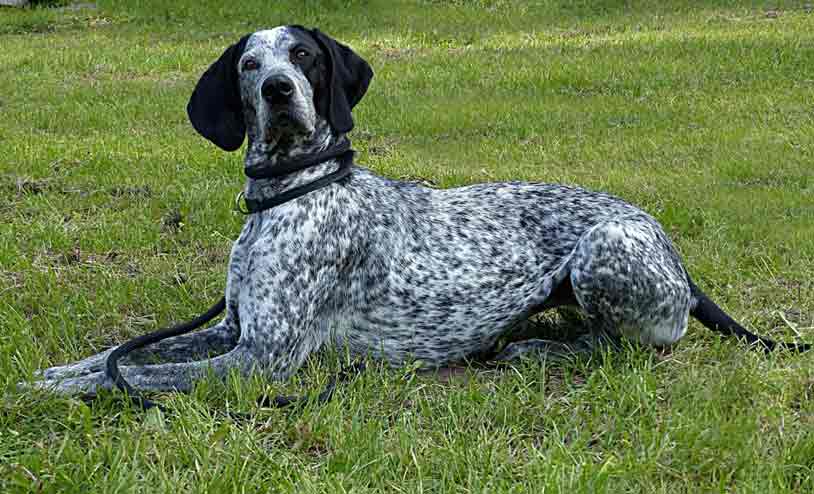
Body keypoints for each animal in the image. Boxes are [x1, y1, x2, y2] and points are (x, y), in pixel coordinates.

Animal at [30, 24, 808, 398]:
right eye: (251, 65)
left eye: (304, 57)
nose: (279, 90)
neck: (295, 191)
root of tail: (675, 254)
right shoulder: (231, 333)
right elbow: (122, 356)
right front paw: (58, 373)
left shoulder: (263, 359)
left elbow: (137, 376)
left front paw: (52, 395)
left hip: (605, 249)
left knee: (638, 346)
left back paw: (535, 349)